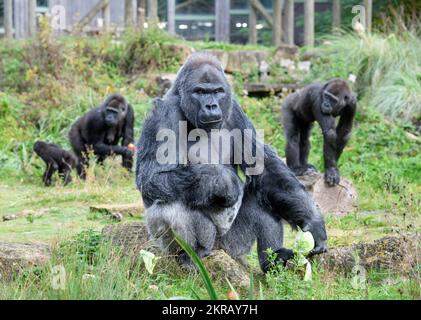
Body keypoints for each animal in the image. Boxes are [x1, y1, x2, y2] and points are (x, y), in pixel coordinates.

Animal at [136, 53, 326, 272]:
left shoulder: (234, 110)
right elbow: (151, 178)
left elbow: (265, 169)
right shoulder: (163, 113)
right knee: (167, 201)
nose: (211, 105)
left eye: (217, 91)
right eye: (200, 92)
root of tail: (220, 251)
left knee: (262, 194)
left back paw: (272, 259)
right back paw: (191, 254)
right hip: (206, 244)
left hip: (233, 245)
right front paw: (222, 181)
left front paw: (313, 223)